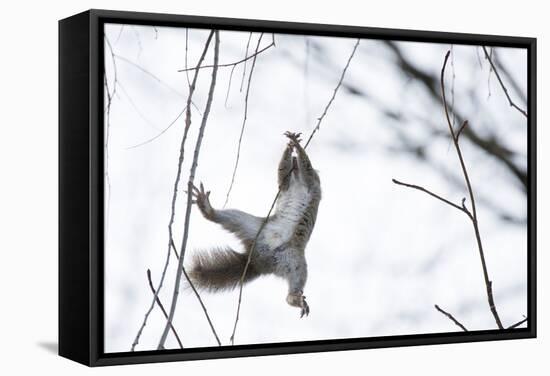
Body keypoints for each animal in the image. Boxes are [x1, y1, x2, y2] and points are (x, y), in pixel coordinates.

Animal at [189, 131, 322, 316]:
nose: (294, 161)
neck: (297, 181)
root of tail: (256, 261)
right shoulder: (286, 185)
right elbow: (282, 175)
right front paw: (289, 148)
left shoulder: (312, 181)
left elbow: (307, 167)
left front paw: (296, 145)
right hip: (248, 225)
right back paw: (207, 208)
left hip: (295, 262)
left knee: (295, 281)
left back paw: (294, 299)